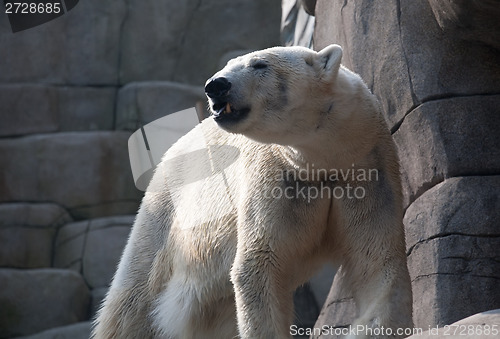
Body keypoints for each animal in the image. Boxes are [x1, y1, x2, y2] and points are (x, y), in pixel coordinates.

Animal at [92, 45, 412, 339]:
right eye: (227, 65)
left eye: (259, 64)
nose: (216, 85)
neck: (323, 161)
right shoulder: (276, 175)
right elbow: (259, 264)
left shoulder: (366, 171)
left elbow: (376, 260)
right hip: (164, 214)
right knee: (133, 297)